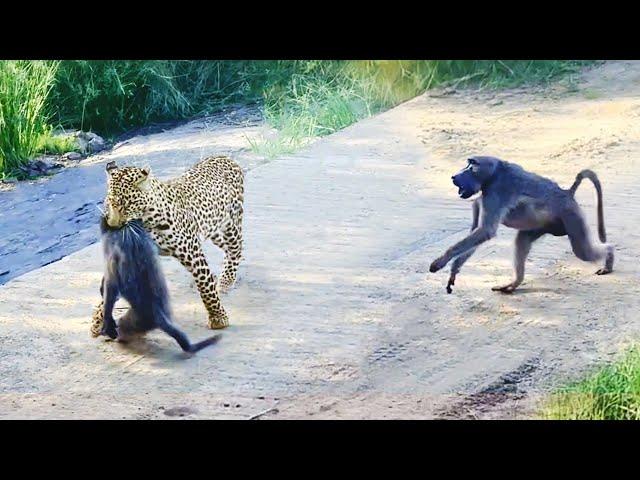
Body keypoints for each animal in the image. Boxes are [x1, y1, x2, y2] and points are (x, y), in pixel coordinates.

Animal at [92, 156, 245, 336]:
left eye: (125, 205)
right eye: (108, 204)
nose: (113, 225)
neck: (146, 221)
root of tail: (223, 157)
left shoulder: (193, 253)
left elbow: (206, 288)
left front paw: (218, 318)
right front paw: (98, 320)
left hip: (231, 222)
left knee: (236, 247)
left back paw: (226, 280)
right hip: (211, 228)